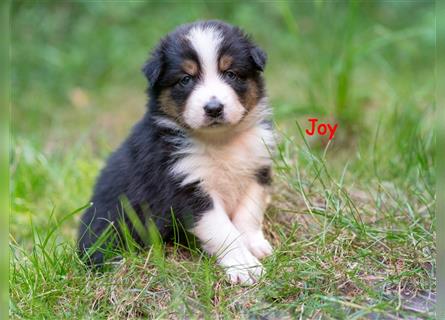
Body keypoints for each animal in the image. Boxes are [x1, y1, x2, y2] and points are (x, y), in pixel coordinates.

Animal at [79, 20, 274, 284]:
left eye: (231, 74)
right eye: (185, 79)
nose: (214, 108)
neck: (220, 141)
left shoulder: (257, 168)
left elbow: (249, 214)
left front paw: (254, 245)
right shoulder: (185, 187)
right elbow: (223, 230)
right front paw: (243, 266)